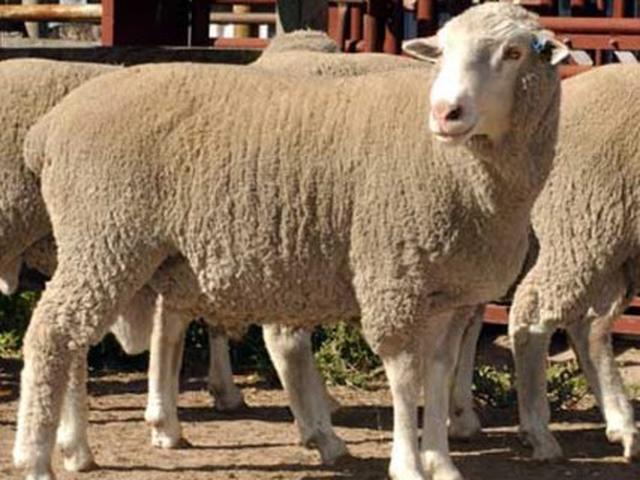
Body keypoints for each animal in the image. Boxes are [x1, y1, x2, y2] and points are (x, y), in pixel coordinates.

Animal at [13, 4, 570, 479]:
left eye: (515, 53)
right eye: (444, 52)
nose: (445, 112)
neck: (460, 169)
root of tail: (48, 128)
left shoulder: (449, 295)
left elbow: (437, 375)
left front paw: (441, 462)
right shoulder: (394, 276)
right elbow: (404, 375)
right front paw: (408, 464)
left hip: (116, 248)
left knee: (82, 337)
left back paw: (77, 448)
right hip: (106, 237)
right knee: (52, 334)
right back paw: (37, 456)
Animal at [508, 63, 640, 462]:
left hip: (612, 245)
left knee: (590, 326)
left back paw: (623, 426)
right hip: (581, 226)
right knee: (534, 313)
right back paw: (539, 433)